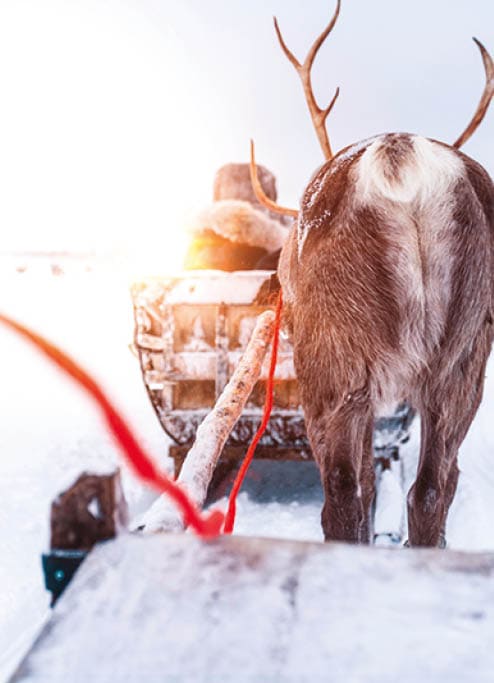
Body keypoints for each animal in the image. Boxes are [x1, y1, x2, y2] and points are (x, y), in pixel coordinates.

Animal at [250, 0, 494, 547]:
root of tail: (404, 167)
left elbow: (362, 476)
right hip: (464, 357)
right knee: (432, 489)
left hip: (332, 361)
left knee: (344, 495)